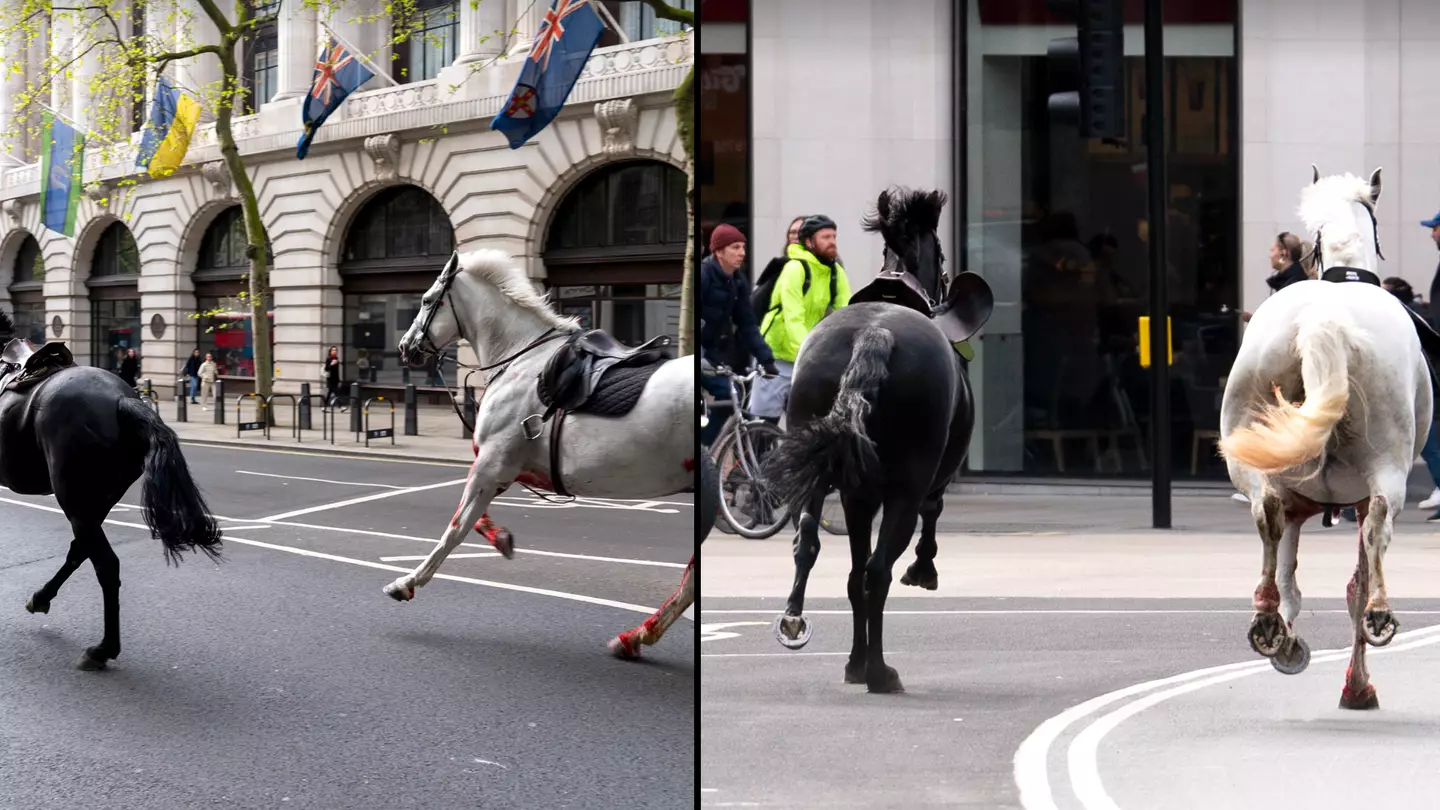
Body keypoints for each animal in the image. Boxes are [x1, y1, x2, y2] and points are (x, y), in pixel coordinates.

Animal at [0, 315, 221, 668]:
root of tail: (123, 400)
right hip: (96, 501)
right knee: (80, 551)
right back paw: (42, 598)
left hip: (76, 499)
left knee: (105, 564)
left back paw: (102, 649)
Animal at [385, 247, 694, 657]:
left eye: (425, 299)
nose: (406, 347)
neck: (520, 359)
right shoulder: (502, 468)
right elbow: (475, 519)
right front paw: (501, 539)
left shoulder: (490, 464)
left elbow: (455, 529)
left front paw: (407, 583)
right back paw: (637, 636)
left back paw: (639, 635)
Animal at [766, 185, 990, 691]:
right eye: (941, 253)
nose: (944, 276)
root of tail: (876, 333)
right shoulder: (924, 482)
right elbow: (931, 515)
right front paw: (923, 570)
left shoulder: (856, 497)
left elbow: (849, 575)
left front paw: (852, 662)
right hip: (905, 485)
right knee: (878, 571)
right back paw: (880, 671)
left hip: (821, 473)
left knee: (812, 546)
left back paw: (802, 623)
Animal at [1215, 165, 1428, 706]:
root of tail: (1323, 318)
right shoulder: (1353, 499)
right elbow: (1354, 582)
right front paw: (1357, 683)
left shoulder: (1296, 501)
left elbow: (1289, 572)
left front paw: (1287, 637)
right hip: (1386, 467)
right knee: (1378, 528)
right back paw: (1378, 615)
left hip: (1254, 459)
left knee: (1265, 513)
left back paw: (1267, 621)